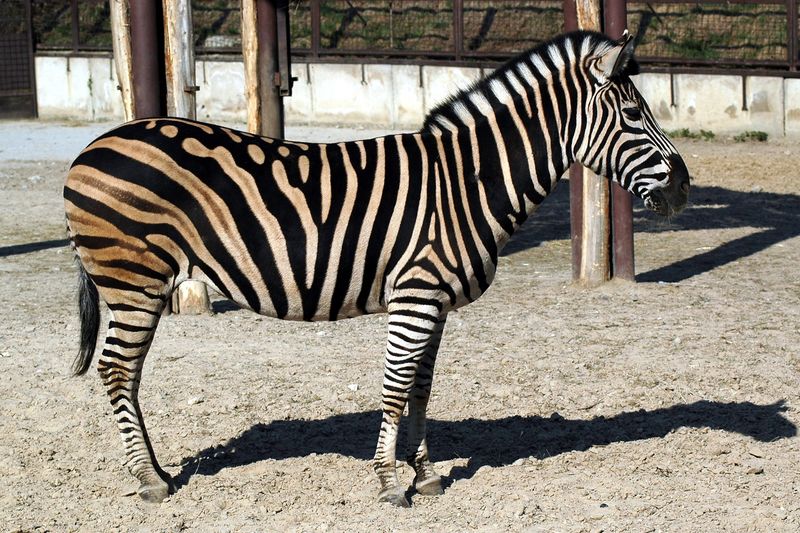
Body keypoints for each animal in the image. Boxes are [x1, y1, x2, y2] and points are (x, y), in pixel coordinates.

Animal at [64, 30, 689, 508]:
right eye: (633, 113)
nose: (684, 188)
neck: (466, 183)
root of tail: (93, 146)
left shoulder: (435, 301)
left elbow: (421, 389)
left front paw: (425, 475)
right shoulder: (414, 294)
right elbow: (393, 389)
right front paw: (390, 484)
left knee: (125, 374)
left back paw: (153, 471)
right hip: (135, 280)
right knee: (117, 371)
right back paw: (150, 481)